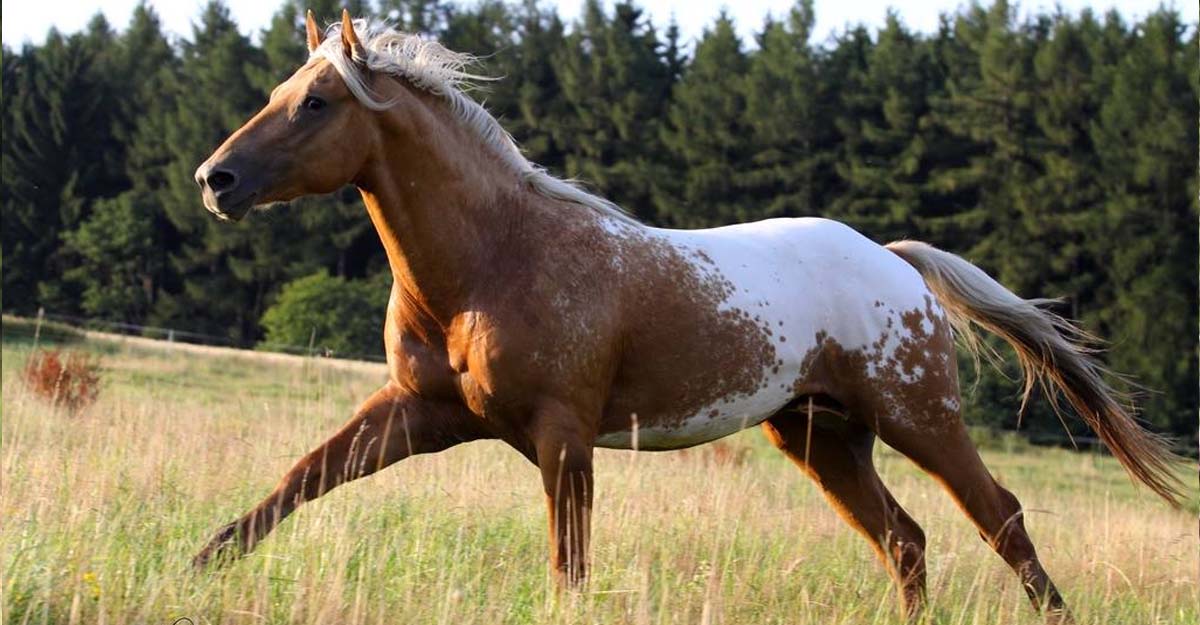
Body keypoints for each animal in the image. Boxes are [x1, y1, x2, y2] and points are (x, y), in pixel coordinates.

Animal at [192, 10, 1185, 623]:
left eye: (316, 102)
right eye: (277, 93)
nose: (215, 180)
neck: (490, 263)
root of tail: (895, 261)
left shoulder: (562, 436)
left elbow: (569, 566)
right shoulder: (418, 413)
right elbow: (294, 484)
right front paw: (195, 564)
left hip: (917, 415)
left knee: (999, 515)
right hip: (821, 435)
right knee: (905, 539)